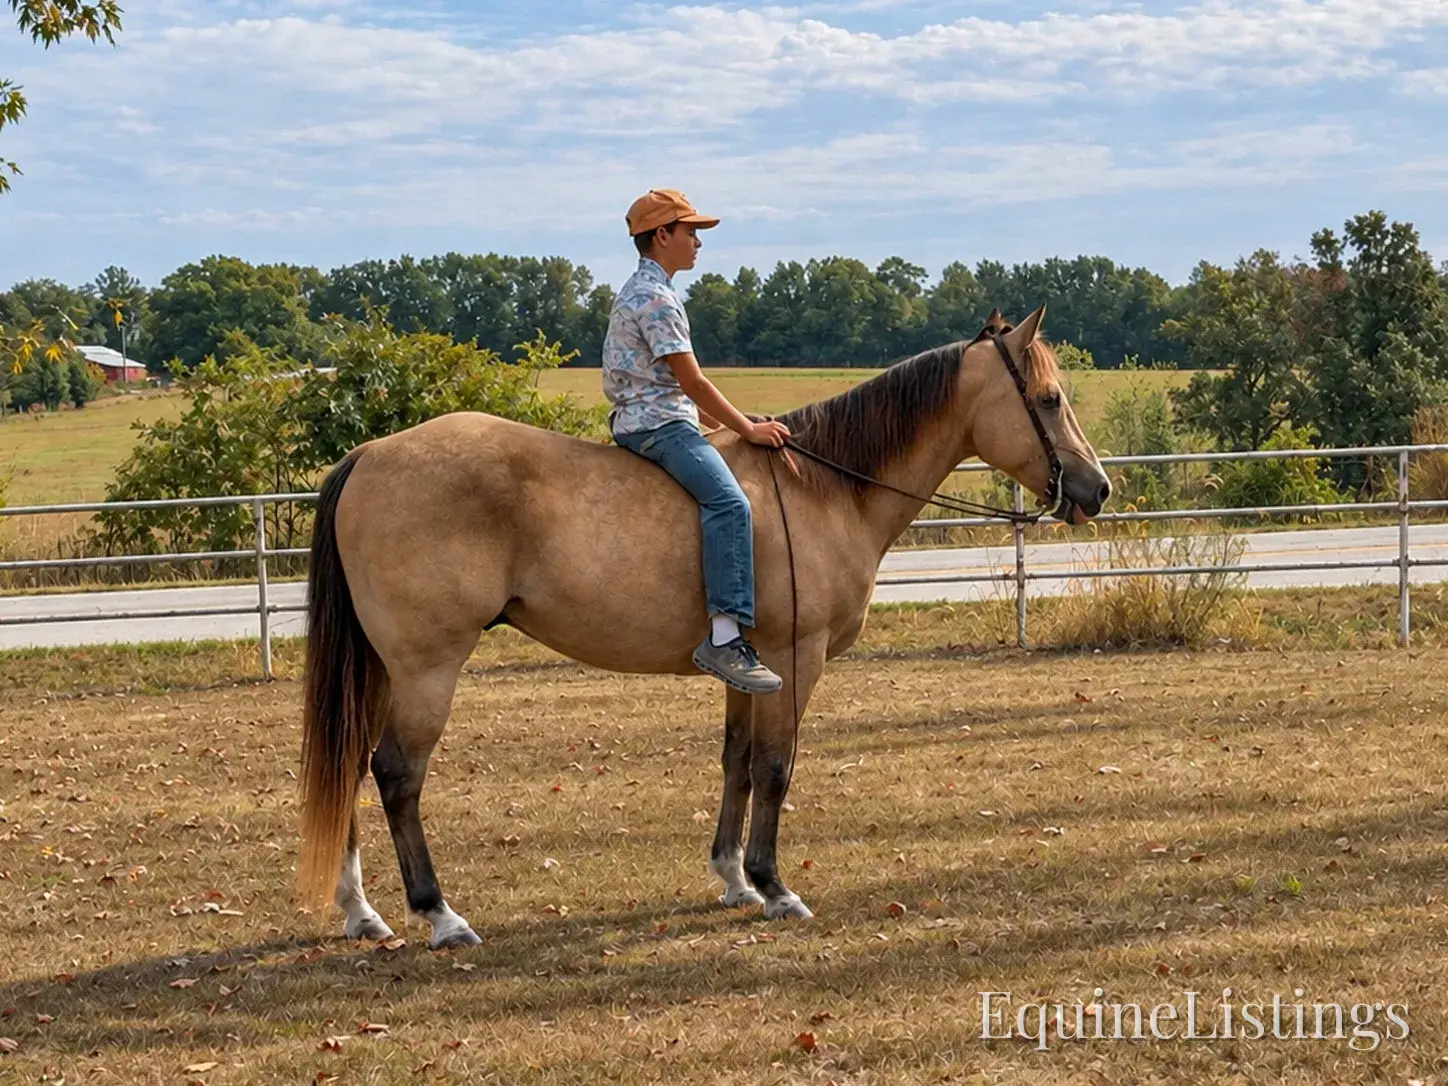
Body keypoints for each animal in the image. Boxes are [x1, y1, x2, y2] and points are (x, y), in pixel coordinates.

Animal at [296, 305, 1111, 948]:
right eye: (1049, 397)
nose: (1097, 488)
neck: (826, 487)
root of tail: (370, 455)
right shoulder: (796, 657)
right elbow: (776, 769)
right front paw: (775, 886)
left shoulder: (752, 666)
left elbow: (737, 763)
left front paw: (733, 879)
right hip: (426, 668)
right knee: (396, 774)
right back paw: (439, 915)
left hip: (381, 668)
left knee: (350, 764)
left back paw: (363, 911)